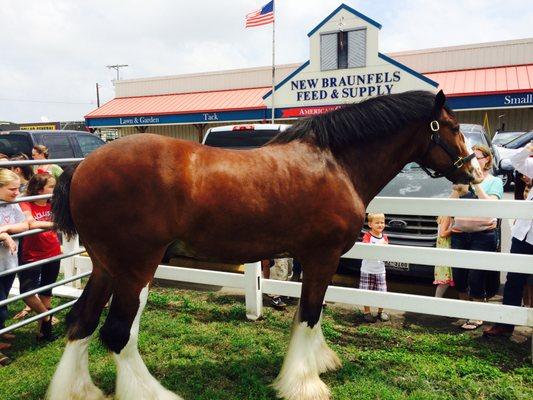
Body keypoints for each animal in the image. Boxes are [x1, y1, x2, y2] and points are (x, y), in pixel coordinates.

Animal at [47, 90, 476, 400]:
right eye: (452, 125)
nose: (474, 170)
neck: (336, 164)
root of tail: (82, 168)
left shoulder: (312, 260)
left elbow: (310, 312)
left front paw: (319, 360)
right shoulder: (321, 257)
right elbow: (309, 314)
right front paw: (304, 383)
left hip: (106, 267)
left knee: (81, 321)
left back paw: (77, 390)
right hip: (137, 269)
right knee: (117, 334)